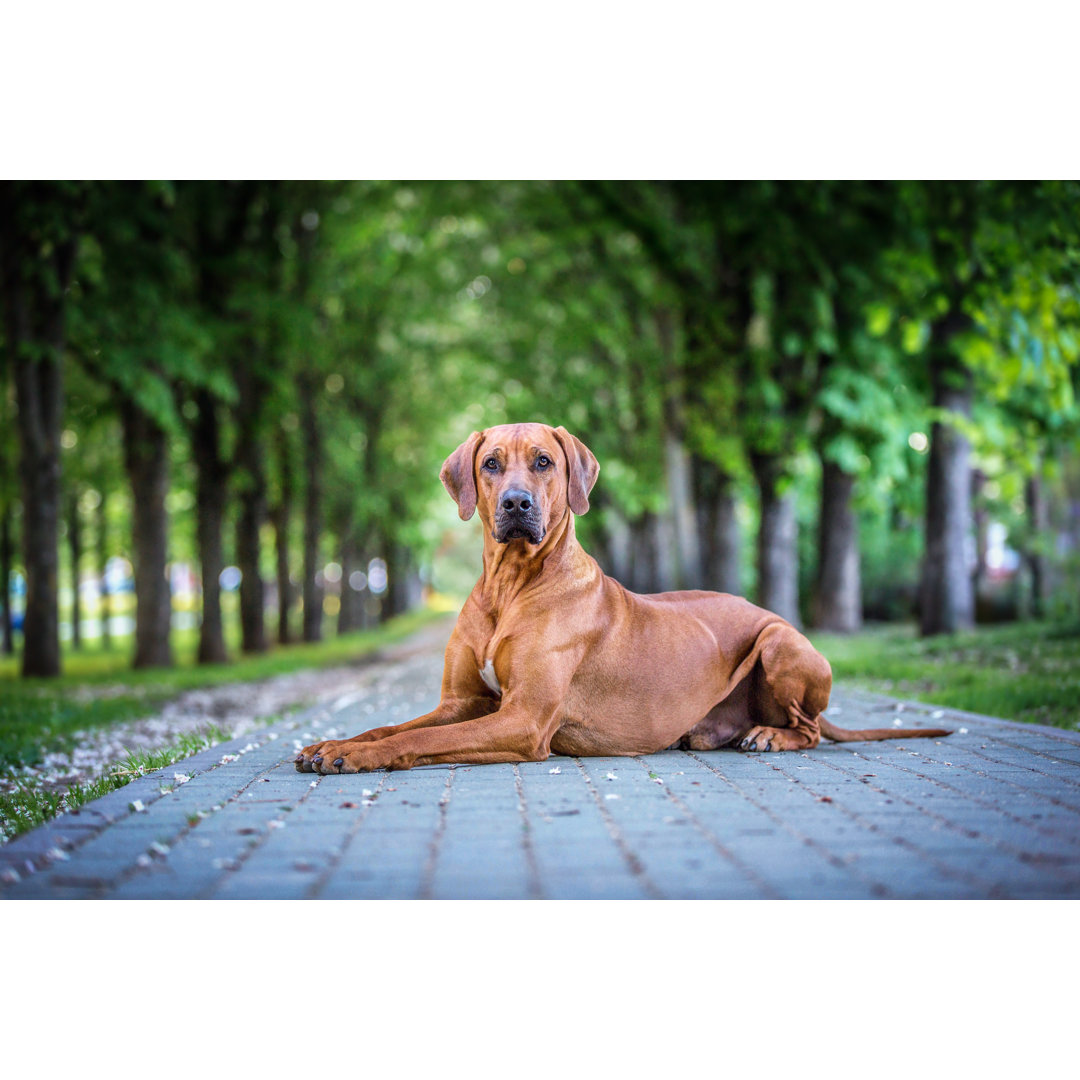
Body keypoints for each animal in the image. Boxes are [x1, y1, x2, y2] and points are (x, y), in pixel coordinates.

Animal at [293, 423, 946, 777]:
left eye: (544, 461)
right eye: (491, 463)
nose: (516, 504)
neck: (511, 586)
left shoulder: (524, 720)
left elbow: (415, 740)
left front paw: (356, 757)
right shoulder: (464, 703)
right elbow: (388, 724)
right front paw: (333, 744)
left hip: (780, 641)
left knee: (808, 729)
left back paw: (770, 736)